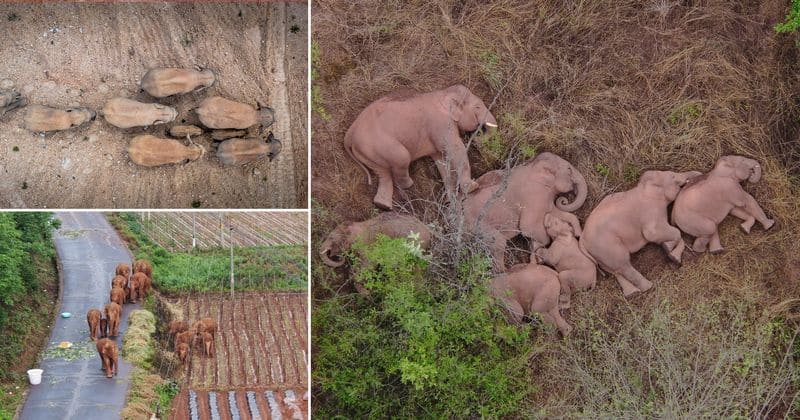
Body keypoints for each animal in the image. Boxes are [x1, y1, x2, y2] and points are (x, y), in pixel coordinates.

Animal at [342, 84, 496, 209]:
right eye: (477, 107)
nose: (476, 137)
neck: (443, 93)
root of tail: (349, 134)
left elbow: (441, 160)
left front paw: (450, 201)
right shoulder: (440, 124)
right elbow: (455, 149)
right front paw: (473, 187)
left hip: (368, 152)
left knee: (382, 173)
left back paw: (383, 206)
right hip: (379, 145)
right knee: (402, 158)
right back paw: (408, 185)